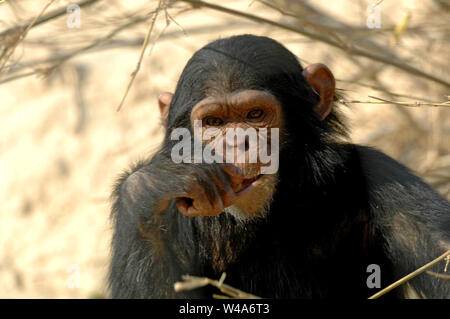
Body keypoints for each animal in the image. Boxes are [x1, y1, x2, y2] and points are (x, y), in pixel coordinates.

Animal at [110, 33, 450, 298]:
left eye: (255, 114)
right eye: (214, 122)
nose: (237, 143)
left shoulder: (383, 176)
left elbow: (442, 255)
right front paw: (155, 183)